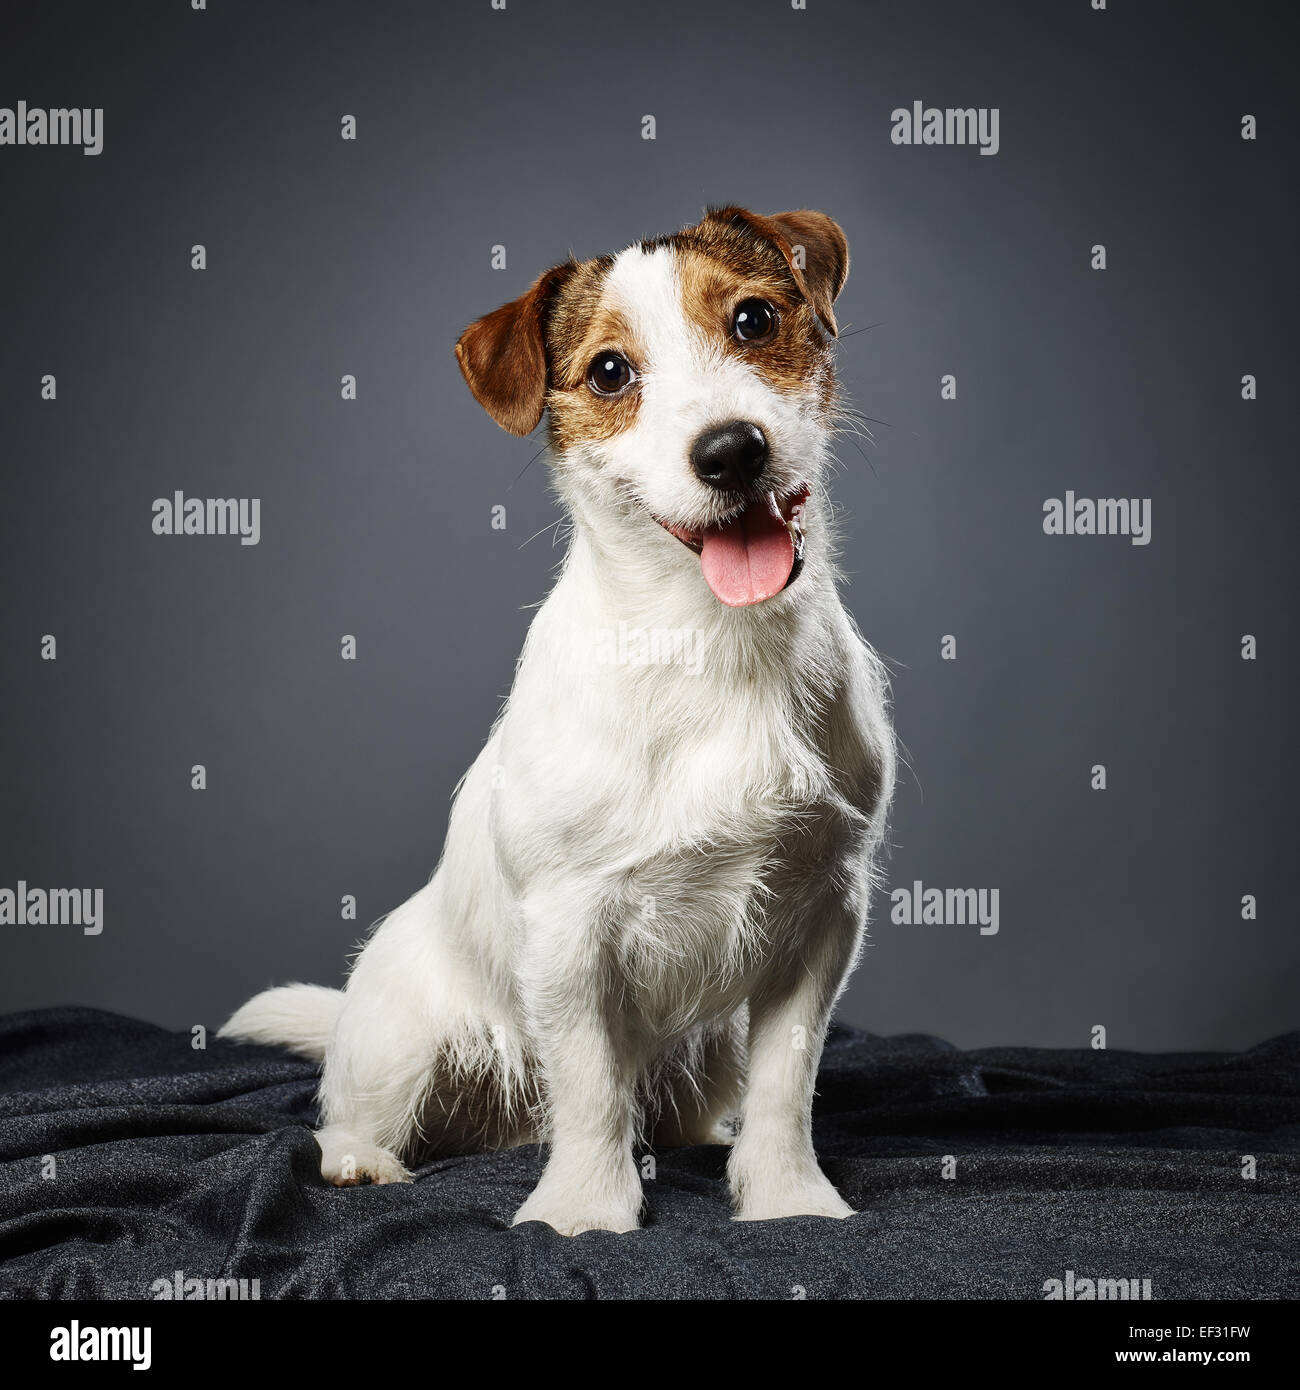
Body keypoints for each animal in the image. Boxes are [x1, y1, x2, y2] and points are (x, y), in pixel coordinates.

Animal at [223, 201, 895, 1234]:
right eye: (610, 372)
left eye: (753, 319)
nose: (731, 450)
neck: (709, 644)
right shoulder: (571, 930)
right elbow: (587, 1087)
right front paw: (583, 1208)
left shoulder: (826, 913)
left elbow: (789, 1080)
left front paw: (788, 1198)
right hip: (398, 1037)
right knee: (352, 1111)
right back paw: (360, 1161)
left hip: (710, 1048)